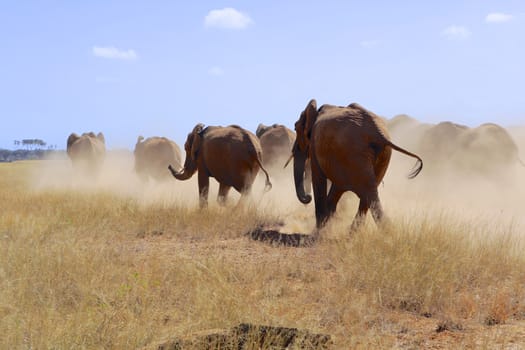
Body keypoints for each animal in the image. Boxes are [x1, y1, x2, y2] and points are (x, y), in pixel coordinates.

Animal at [290, 99, 422, 230]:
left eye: (295, 128)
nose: (308, 197)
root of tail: (377, 132)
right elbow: (337, 187)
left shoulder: (316, 146)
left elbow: (319, 179)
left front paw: (319, 230)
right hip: (380, 154)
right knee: (370, 192)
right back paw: (356, 232)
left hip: (355, 151)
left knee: (368, 192)